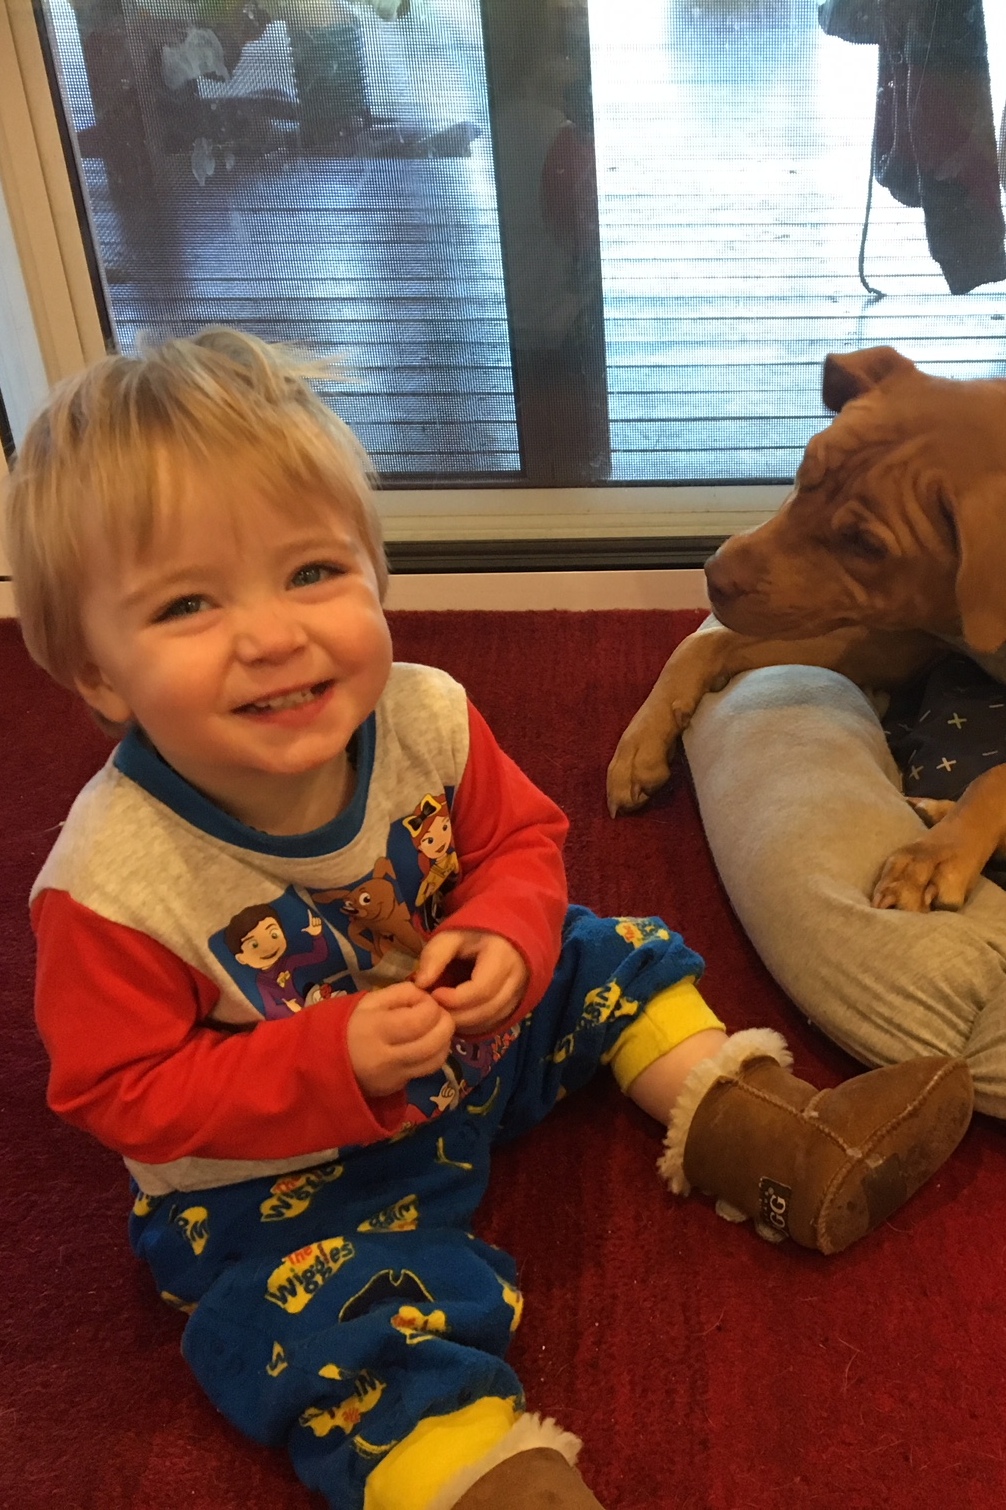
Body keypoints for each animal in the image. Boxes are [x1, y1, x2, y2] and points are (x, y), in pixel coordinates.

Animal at [606, 345, 1006, 914]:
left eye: (866, 545)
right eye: (803, 469)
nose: (714, 576)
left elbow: (995, 776)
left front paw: (934, 856)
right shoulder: (906, 640)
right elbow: (705, 641)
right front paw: (640, 744)